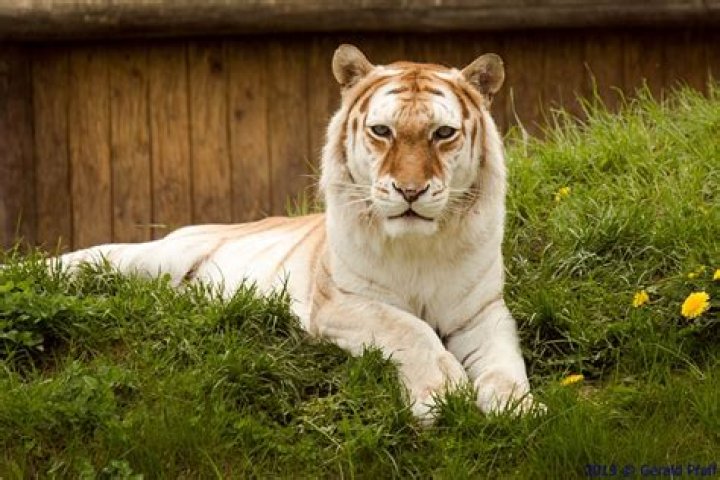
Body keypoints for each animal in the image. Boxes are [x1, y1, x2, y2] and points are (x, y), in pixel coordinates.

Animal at [55, 44, 540, 423]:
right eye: (382, 131)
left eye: (443, 133)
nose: (410, 190)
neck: (419, 247)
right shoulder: (341, 301)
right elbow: (407, 327)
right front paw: (440, 392)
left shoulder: (482, 312)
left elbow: (504, 359)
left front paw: (517, 406)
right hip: (155, 257)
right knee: (91, 260)